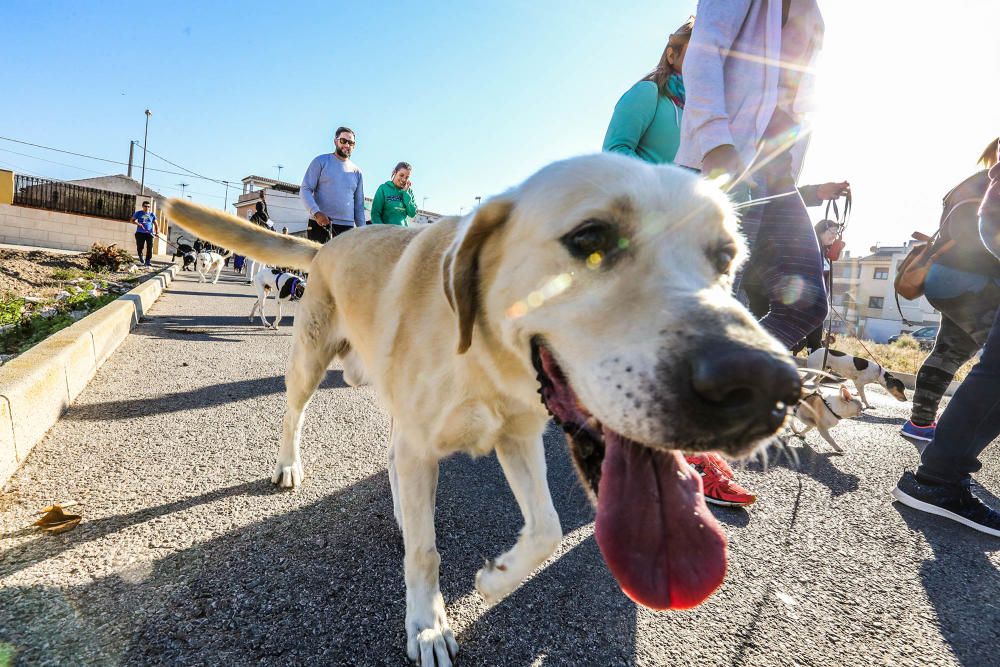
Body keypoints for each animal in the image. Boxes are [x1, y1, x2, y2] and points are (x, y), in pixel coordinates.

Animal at [166, 154, 804, 664]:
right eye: (591, 239)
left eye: (726, 258)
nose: (767, 386)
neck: (486, 362)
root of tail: (328, 241)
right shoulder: (428, 442)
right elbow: (425, 552)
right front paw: (427, 629)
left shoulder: (517, 439)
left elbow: (547, 529)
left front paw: (494, 580)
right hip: (310, 361)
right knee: (294, 414)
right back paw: (290, 466)